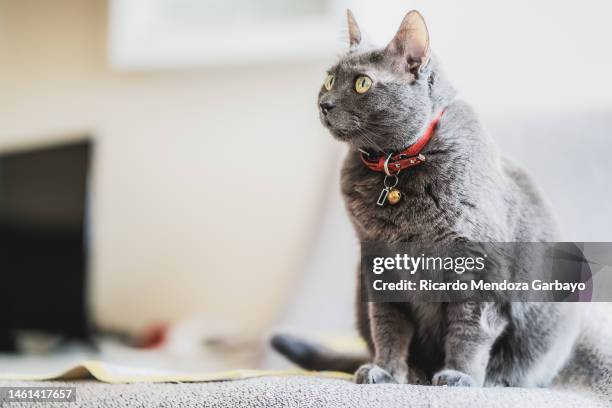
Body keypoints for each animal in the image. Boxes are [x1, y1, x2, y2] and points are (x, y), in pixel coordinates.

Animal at [272, 8, 580, 386]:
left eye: (362, 83)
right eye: (329, 79)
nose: (324, 103)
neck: (394, 165)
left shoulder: (477, 263)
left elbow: (470, 328)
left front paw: (460, 376)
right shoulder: (377, 260)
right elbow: (387, 325)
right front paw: (387, 371)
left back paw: (493, 379)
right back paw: (415, 373)